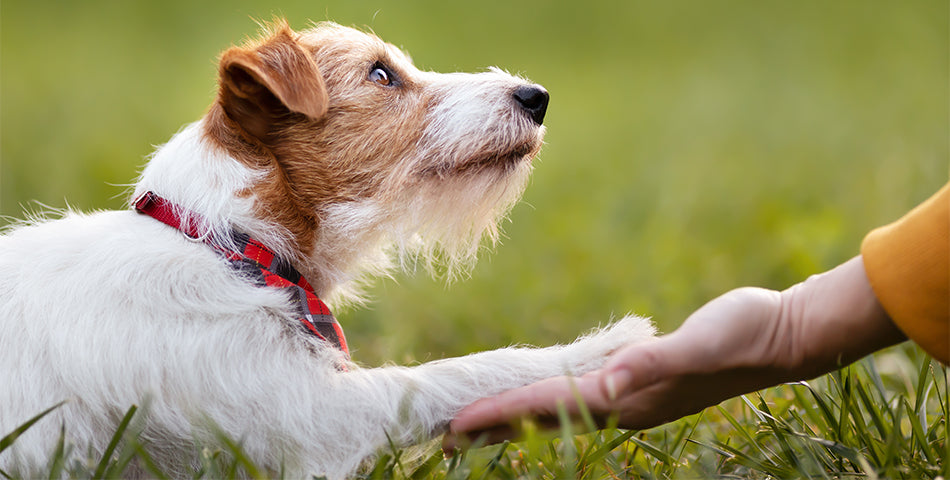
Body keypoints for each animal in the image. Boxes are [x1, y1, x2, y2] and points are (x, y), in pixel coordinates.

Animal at [0, 20, 656, 478]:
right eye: (381, 74)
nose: (536, 96)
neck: (231, 248)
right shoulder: (316, 419)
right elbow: (458, 371)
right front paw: (602, 349)